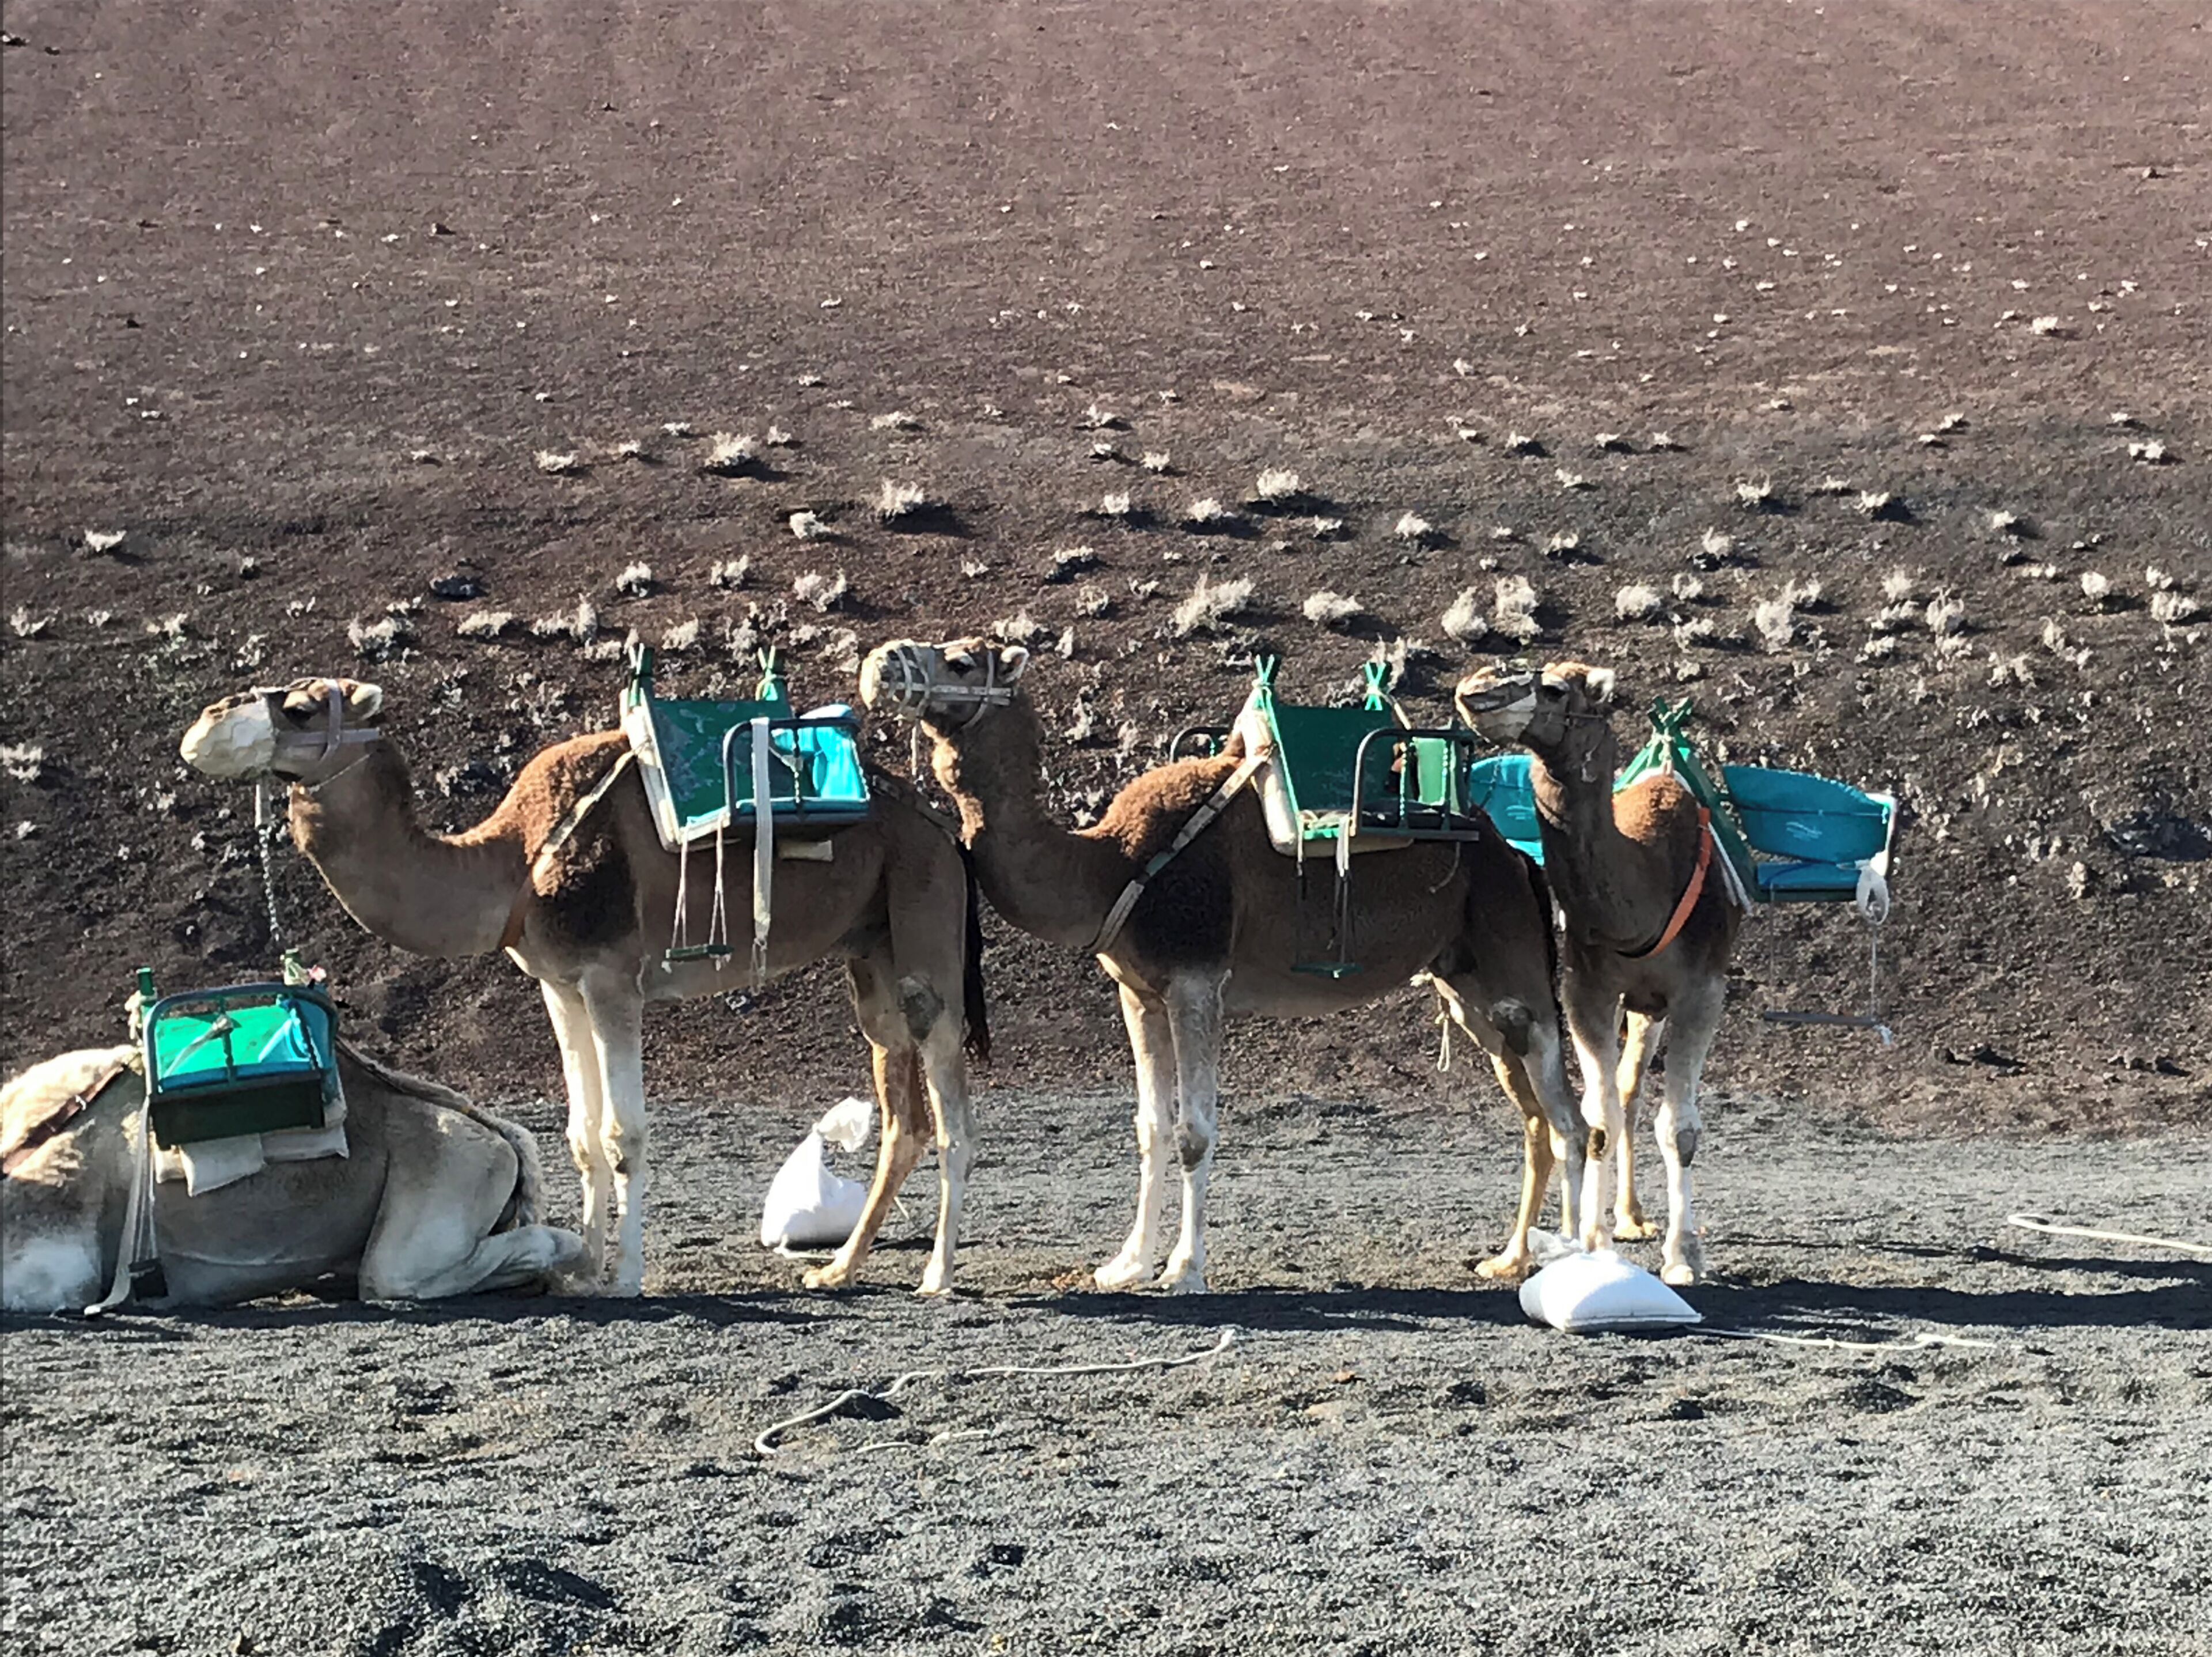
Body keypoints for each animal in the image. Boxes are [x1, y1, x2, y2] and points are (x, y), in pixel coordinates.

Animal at [177, 677, 985, 1298]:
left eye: (301, 707)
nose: (204, 723)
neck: (514, 865)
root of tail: (945, 830)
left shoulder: (610, 978)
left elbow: (624, 1133)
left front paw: (623, 1276)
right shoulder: (559, 986)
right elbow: (580, 1135)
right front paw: (584, 1267)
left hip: (924, 917)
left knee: (951, 1102)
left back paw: (937, 1276)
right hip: (870, 951)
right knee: (902, 1110)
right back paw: (838, 1269)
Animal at [858, 638, 1589, 1292]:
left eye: (959, 660)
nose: (882, 661)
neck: (1111, 862)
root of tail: (1517, 857)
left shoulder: (1196, 982)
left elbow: (1194, 1131)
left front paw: (1185, 1269)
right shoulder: (1139, 992)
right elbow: (1149, 1126)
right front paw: (1125, 1264)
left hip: (1512, 954)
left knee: (1571, 1120)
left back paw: (1578, 1258)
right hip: (1466, 984)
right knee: (1534, 1116)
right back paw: (1509, 1259)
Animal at [1455, 662, 1743, 1285]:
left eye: (1555, 689)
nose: (1476, 687)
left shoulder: (1701, 991)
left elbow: (1680, 1128)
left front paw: (1684, 1257)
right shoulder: (1586, 989)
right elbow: (1598, 1121)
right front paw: (1591, 1241)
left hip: (1656, 1004)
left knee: (1638, 1091)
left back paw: (1640, 1221)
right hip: (1631, 1003)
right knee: (1623, 1096)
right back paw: (1622, 1220)